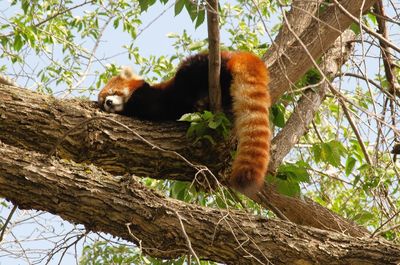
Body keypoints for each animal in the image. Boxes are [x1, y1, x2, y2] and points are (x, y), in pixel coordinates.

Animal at [98, 51, 270, 196]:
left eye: (113, 92)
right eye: (103, 101)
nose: (108, 102)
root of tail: (232, 54)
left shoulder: (149, 95)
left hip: (198, 68)